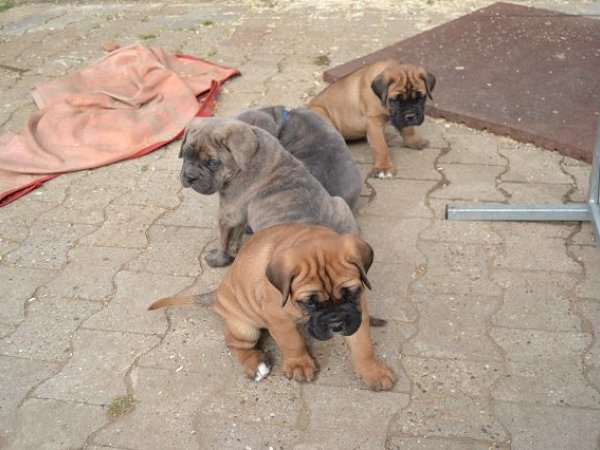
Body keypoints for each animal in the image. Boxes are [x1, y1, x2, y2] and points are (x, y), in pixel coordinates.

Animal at [149, 223, 396, 391]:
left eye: (350, 293)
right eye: (309, 301)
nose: (336, 324)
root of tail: (217, 295)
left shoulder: (357, 312)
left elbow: (363, 345)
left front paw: (372, 371)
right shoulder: (278, 319)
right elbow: (292, 342)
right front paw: (299, 364)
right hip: (244, 327)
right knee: (235, 344)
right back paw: (256, 364)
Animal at [179, 117, 358, 268]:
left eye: (213, 163)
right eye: (186, 154)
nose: (191, 176)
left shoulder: (228, 214)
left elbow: (224, 241)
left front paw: (218, 258)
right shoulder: (237, 215)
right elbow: (235, 237)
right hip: (340, 204)